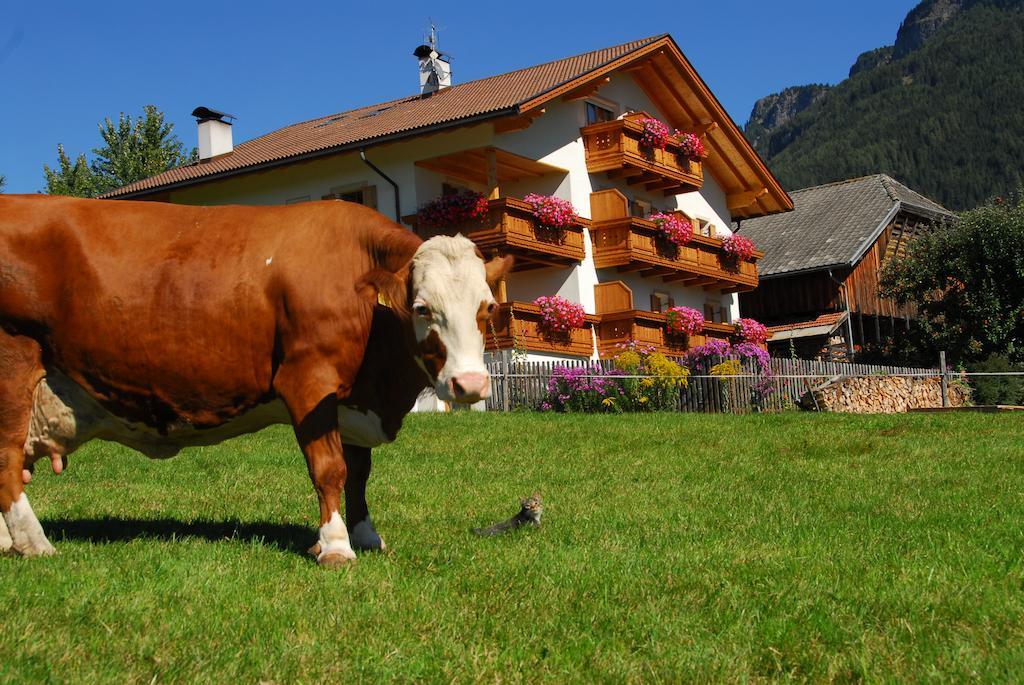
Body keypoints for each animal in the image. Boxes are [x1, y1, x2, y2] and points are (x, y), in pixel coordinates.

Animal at [0, 194, 512, 565]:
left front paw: (365, 535)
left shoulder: (353, 400)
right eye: (422, 308)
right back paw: (34, 544)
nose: (470, 386)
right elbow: (331, 468)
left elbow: (360, 473)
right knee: (7, 460)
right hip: (13, 360)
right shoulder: (308, 379)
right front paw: (335, 546)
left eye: (487, 308)